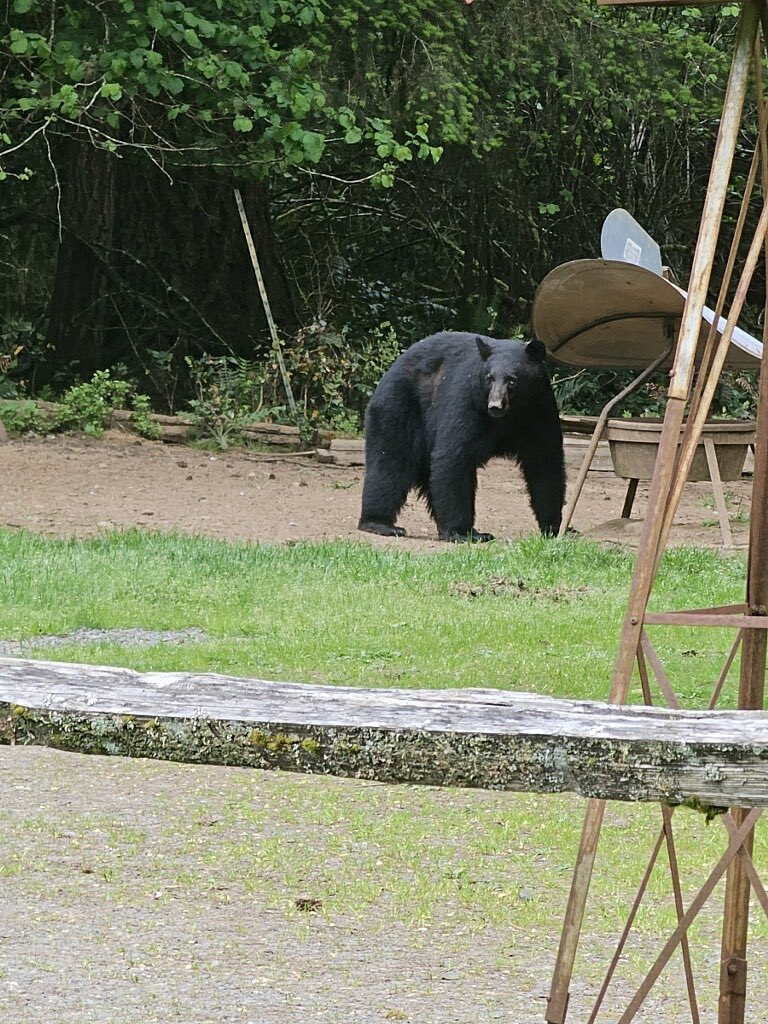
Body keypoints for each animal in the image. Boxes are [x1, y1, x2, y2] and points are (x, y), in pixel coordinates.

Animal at [358, 331, 565, 542]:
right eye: (490, 378)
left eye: (512, 380)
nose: (495, 405)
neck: (509, 415)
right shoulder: (469, 402)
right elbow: (455, 456)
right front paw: (461, 532)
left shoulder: (539, 410)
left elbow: (544, 464)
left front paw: (552, 527)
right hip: (400, 406)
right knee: (390, 463)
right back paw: (379, 523)